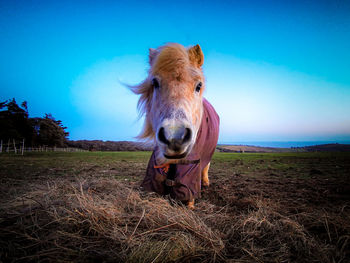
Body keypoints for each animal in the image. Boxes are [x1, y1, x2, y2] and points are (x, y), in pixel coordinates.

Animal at [131, 43, 219, 209]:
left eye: (199, 85)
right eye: (155, 83)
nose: (175, 138)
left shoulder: (192, 166)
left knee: (206, 166)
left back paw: (205, 183)